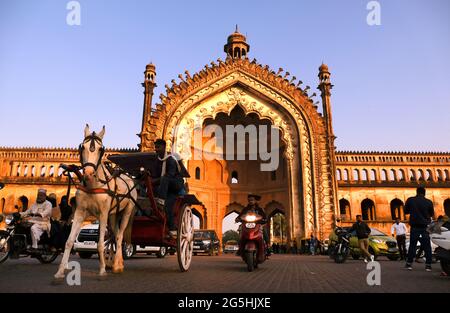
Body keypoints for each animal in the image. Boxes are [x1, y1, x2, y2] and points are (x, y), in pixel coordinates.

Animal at [54, 124, 136, 278]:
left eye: (100, 149)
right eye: (83, 147)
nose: (88, 173)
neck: (93, 185)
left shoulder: (103, 213)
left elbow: (100, 243)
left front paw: (102, 270)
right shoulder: (80, 212)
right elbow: (69, 241)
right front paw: (60, 271)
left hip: (127, 211)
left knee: (120, 235)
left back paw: (117, 265)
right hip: (113, 214)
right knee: (115, 234)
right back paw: (117, 263)